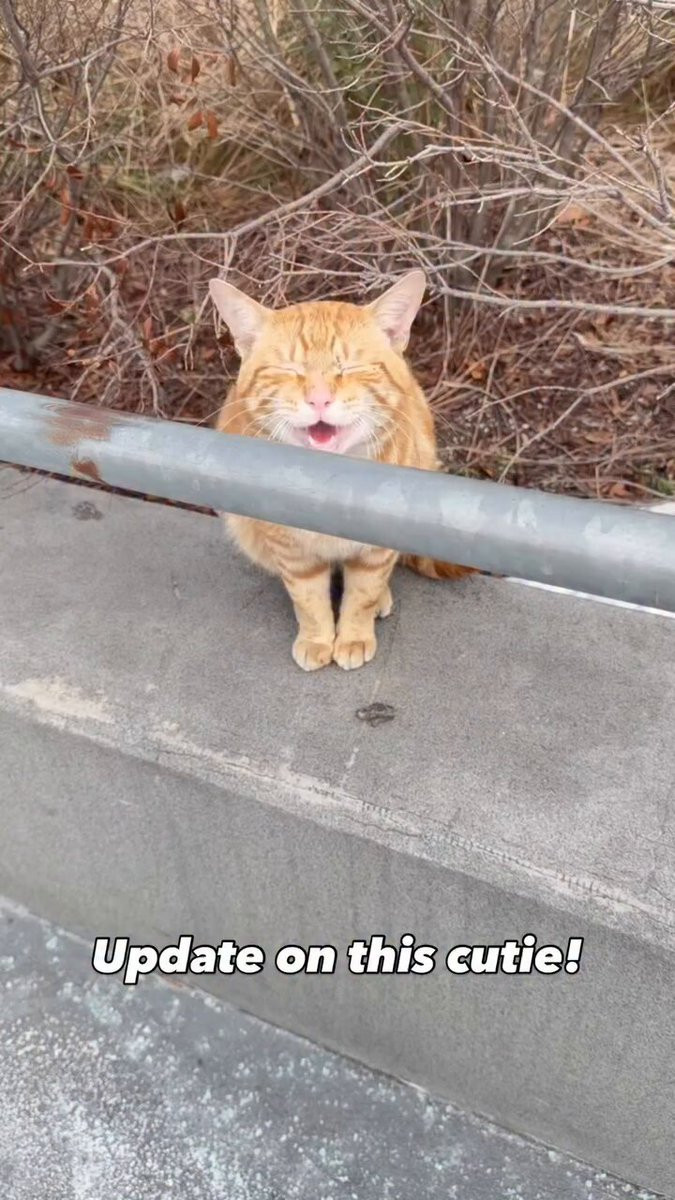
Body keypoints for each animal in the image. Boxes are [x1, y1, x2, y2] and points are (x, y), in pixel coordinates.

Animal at [209, 269, 474, 671]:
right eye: (289, 370)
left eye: (349, 368)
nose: (319, 399)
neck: (332, 488)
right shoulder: (293, 553)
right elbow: (307, 599)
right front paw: (317, 638)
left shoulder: (377, 550)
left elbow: (362, 593)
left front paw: (353, 635)